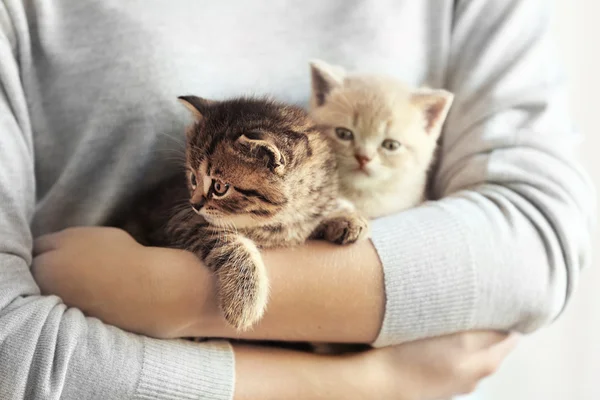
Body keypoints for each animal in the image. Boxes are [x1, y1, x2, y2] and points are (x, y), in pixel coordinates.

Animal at [129, 95, 368, 330]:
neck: (280, 220)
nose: (194, 204)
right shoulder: (180, 220)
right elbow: (228, 243)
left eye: (219, 187)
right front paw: (244, 302)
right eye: (193, 179)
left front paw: (345, 217)